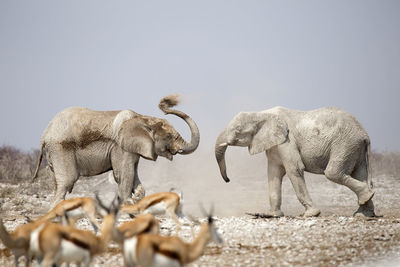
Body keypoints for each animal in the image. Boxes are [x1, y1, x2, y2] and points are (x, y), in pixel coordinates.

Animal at [33, 95, 200, 208]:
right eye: (170, 136)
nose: (168, 102)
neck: (142, 118)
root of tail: (44, 134)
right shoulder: (120, 147)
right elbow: (124, 174)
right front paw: (128, 204)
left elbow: (133, 175)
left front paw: (136, 198)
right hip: (61, 148)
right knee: (67, 182)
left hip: (54, 152)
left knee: (57, 184)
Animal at [216, 107, 376, 218]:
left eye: (237, 131)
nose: (228, 180)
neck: (262, 113)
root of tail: (365, 135)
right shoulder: (275, 145)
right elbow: (273, 173)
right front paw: (273, 215)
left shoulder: (288, 141)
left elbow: (295, 169)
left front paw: (311, 214)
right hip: (355, 148)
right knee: (359, 174)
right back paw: (363, 213)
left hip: (345, 144)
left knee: (333, 173)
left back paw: (366, 201)